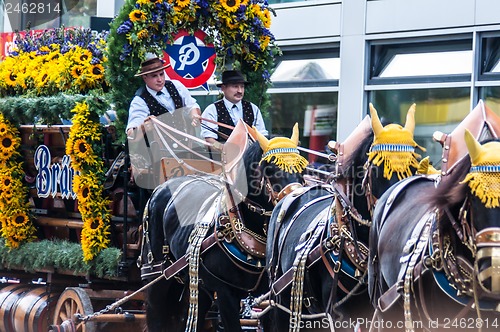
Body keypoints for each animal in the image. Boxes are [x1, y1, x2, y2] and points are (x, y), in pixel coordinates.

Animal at [139, 122, 306, 332]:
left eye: (302, 168)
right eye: (270, 169)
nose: (297, 199)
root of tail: (161, 188)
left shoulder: (268, 297)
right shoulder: (225, 293)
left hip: (197, 282)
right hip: (157, 274)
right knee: (157, 316)